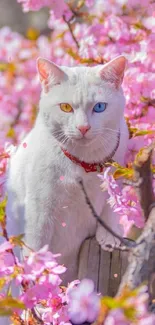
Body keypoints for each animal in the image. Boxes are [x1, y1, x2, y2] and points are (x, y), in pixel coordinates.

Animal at [5, 55, 128, 284]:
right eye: (65, 107)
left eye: (99, 107)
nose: (83, 127)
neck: (83, 162)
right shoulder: (38, 208)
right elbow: (36, 243)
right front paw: (36, 271)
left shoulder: (117, 170)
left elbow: (111, 205)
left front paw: (109, 236)